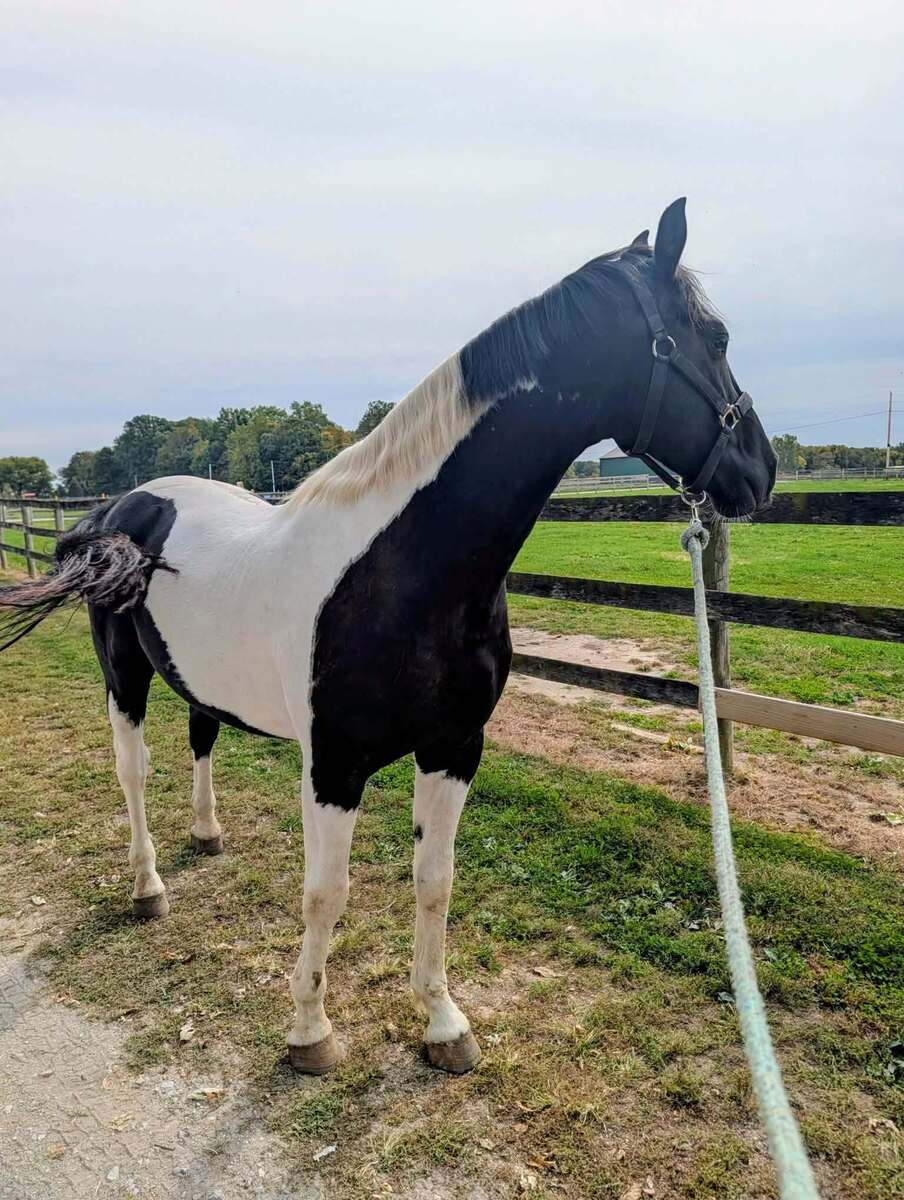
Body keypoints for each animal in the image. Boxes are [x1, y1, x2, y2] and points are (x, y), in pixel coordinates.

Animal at [0, 199, 776, 1075]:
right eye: (715, 338)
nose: (762, 469)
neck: (406, 570)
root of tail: (119, 510)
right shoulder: (333, 764)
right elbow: (325, 892)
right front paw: (310, 1031)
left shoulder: (454, 746)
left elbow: (434, 879)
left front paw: (442, 1022)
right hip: (123, 675)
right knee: (132, 773)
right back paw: (148, 887)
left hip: (200, 680)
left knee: (202, 736)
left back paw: (206, 833)